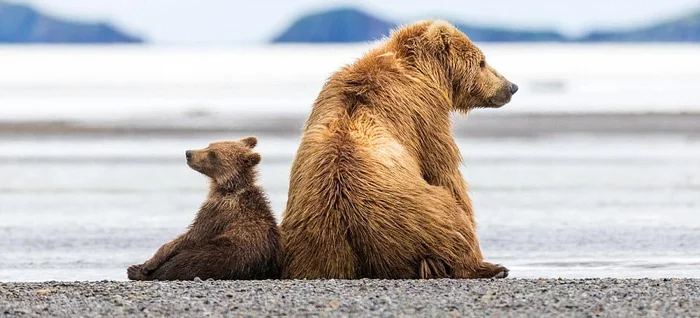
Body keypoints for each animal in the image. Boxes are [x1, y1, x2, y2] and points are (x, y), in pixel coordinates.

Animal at [282, 19, 516, 278]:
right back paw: (490, 267)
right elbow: (444, 172)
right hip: (417, 214)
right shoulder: (423, 115)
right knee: (451, 221)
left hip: (315, 243)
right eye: (482, 61)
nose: (511, 87)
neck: (425, 72)